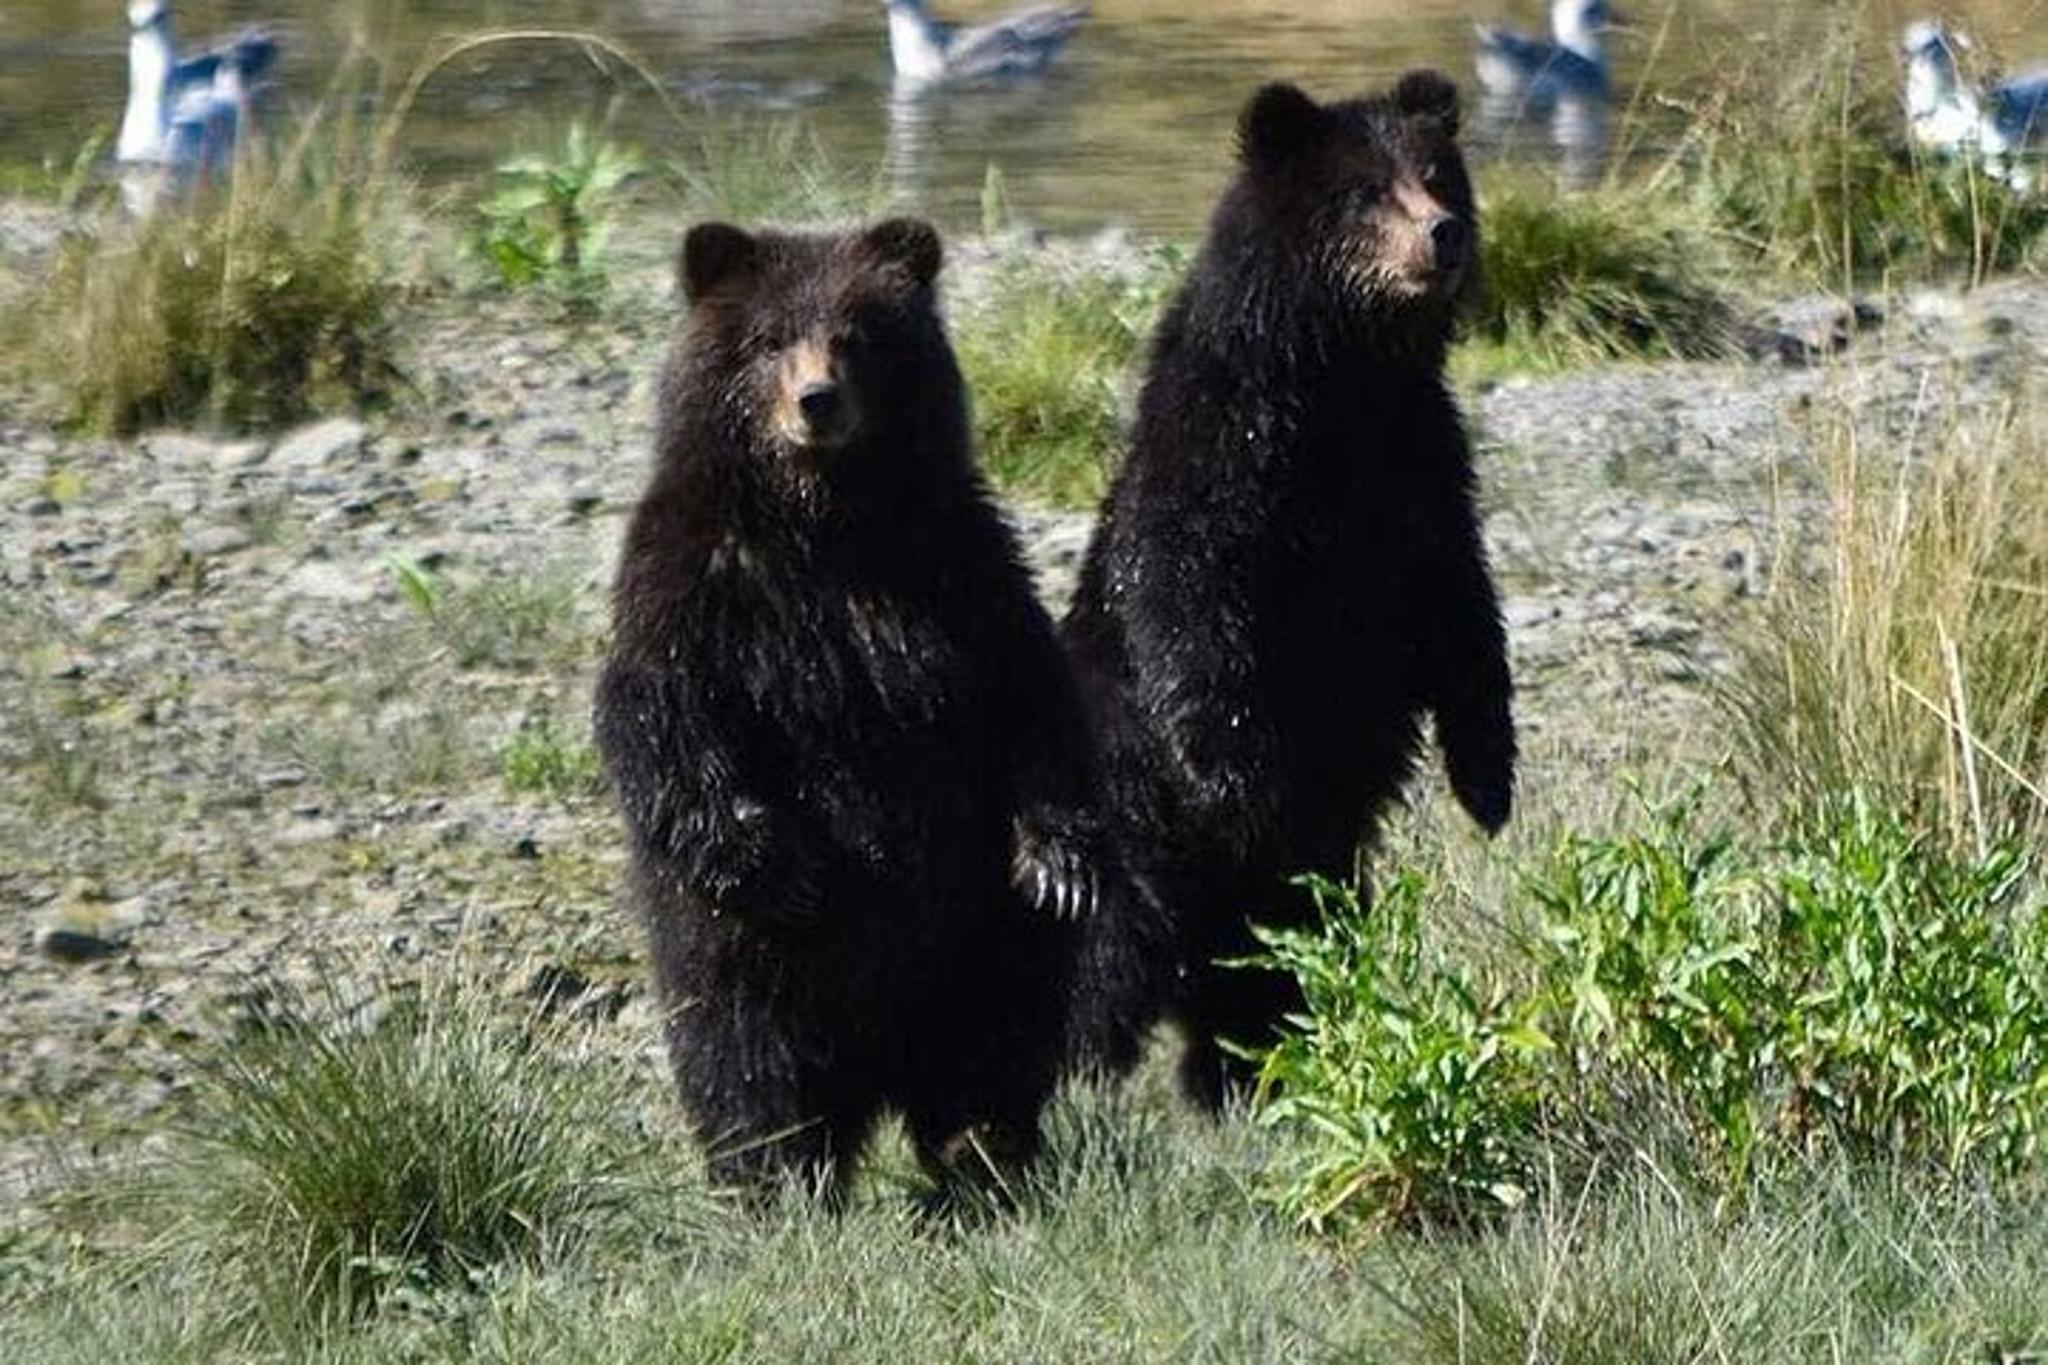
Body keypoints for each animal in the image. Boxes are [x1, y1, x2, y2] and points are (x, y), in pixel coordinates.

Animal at [595, 217, 1123, 1200]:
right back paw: (778, 1179)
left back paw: (981, 1162)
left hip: (972, 932)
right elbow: (658, 711)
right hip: (739, 961)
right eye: (769, 339)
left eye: (856, 335)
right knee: (748, 1061)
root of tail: (874, 1075)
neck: (823, 520)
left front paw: (1060, 861)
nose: (816, 400)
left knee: (994, 1042)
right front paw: (767, 855)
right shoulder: (695, 584)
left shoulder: (957, 569)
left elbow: (1030, 694)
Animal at [1062, 71, 1518, 1109]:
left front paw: (1489, 781)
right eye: (1365, 191)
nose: (1443, 235)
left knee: (1271, 971)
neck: (1339, 378)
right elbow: (1191, 605)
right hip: (1129, 832)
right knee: (1099, 966)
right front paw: (1240, 774)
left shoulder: (1420, 474)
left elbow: (1464, 617)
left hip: (1299, 889)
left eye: (1438, 174)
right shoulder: (1224, 460)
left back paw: (1250, 1070)